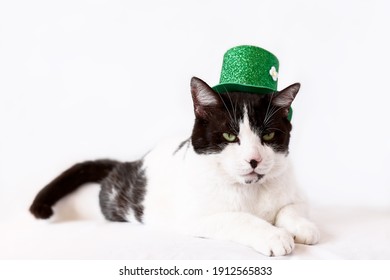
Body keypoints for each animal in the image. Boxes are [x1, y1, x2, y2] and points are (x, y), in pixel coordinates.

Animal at [29, 76, 320, 256]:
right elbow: (237, 218)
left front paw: (303, 227)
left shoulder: (297, 192)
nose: (254, 160)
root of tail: (130, 163)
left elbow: (292, 208)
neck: (250, 190)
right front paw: (274, 236)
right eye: (229, 136)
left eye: (268, 136)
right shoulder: (193, 218)